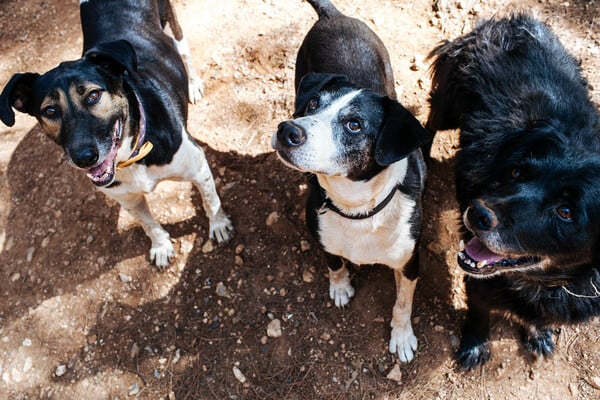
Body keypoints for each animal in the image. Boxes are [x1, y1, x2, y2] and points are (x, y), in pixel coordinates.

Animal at [0, 0, 232, 268]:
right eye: (49, 110)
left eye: (93, 95)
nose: (84, 158)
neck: (130, 155)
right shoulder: (127, 198)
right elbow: (148, 224)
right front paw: (161, 246)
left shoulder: (198, 166)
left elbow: (210, 200)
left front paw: (219, 225)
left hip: (172, 27)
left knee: (184, 52)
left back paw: (193, 84)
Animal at [272, 0, 432, 362]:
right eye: (314, 104)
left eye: (354, 125)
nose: (287, 130)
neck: (357, 208)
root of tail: (334, 15)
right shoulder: (320, 232)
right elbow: (333, 261)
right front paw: (341, 286)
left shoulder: (410, 260)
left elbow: (403, 302)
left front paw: (402, 336)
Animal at [426, 14, 600, 370]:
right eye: (518, 172)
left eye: (566, 211)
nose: (477, 214)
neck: (546, 282)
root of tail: (508, 22)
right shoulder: (479, 280)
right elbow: (479, 312)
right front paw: (475, 345)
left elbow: (540, 318)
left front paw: (538, 334)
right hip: (447, 105)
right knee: (427, 121)